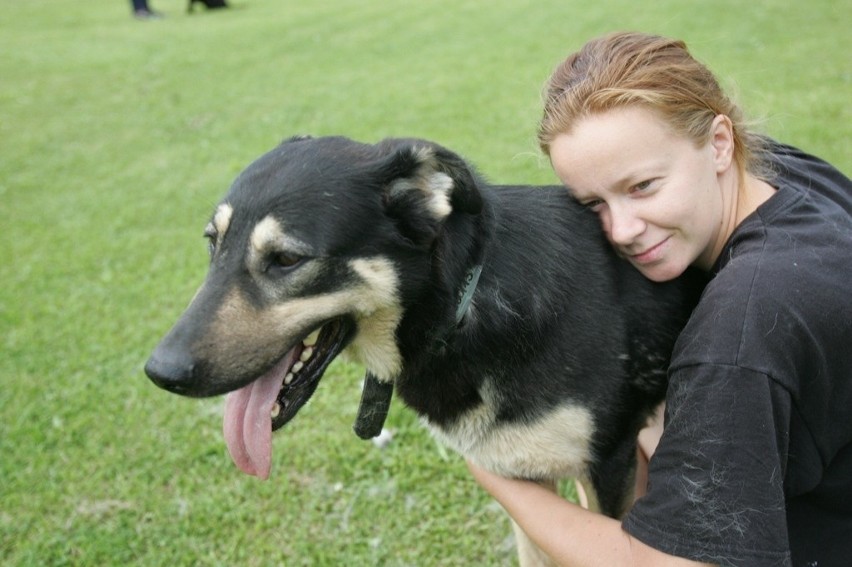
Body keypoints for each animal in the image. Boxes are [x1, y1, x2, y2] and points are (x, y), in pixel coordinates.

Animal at [146, 135, 704, 564]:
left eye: (286, 259)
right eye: (212, 242)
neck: (465, 304)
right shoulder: (527, 482)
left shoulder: (608, 469)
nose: (159, 372)